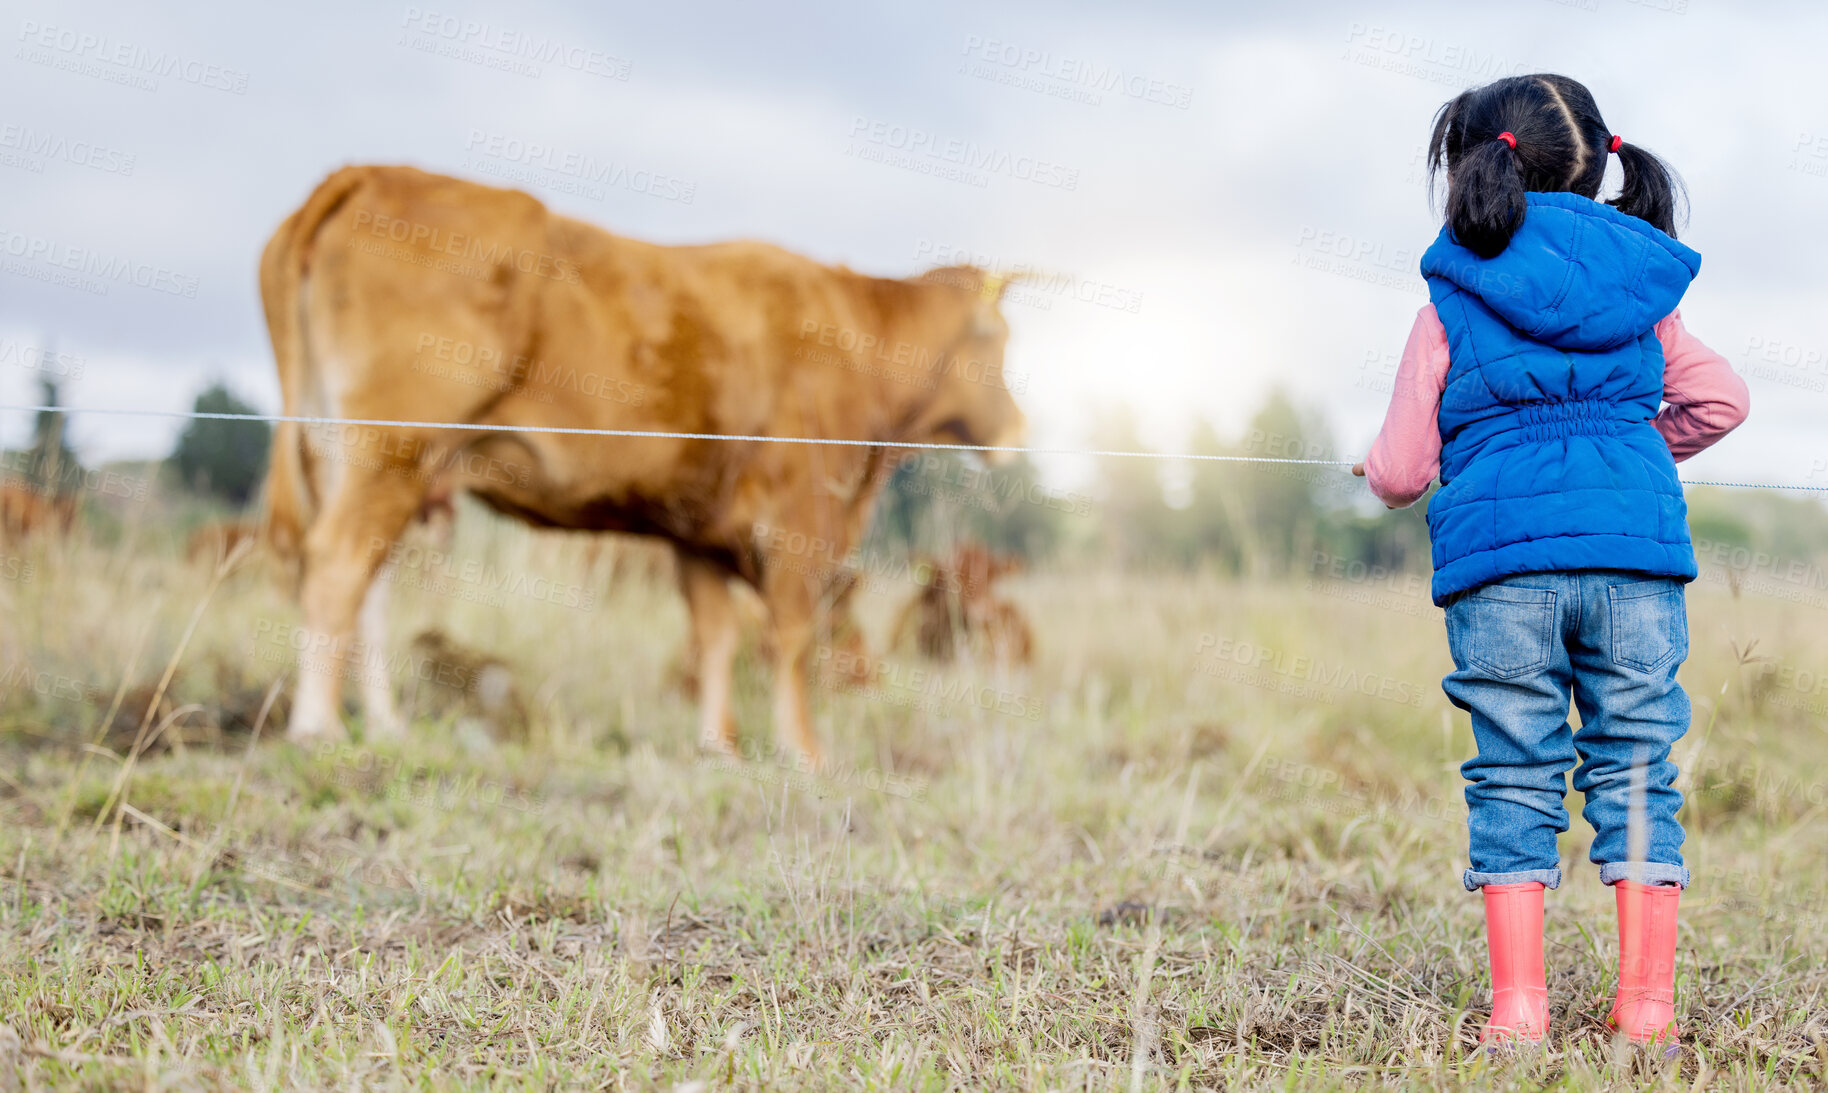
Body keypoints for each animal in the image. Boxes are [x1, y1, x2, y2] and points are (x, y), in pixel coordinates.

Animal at [261, 164, 1030, 764]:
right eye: (996, 338)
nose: (1020, 428)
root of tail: (370, 171)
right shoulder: (803, 514)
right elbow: (790, 634)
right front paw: (803, 750)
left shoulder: (700, 528)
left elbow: (715, 636)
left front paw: (718, 745)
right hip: (393, 445)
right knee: (338, 564)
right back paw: (317, 726)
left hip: (359, 455)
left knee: (370, 581)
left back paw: (385, 725)